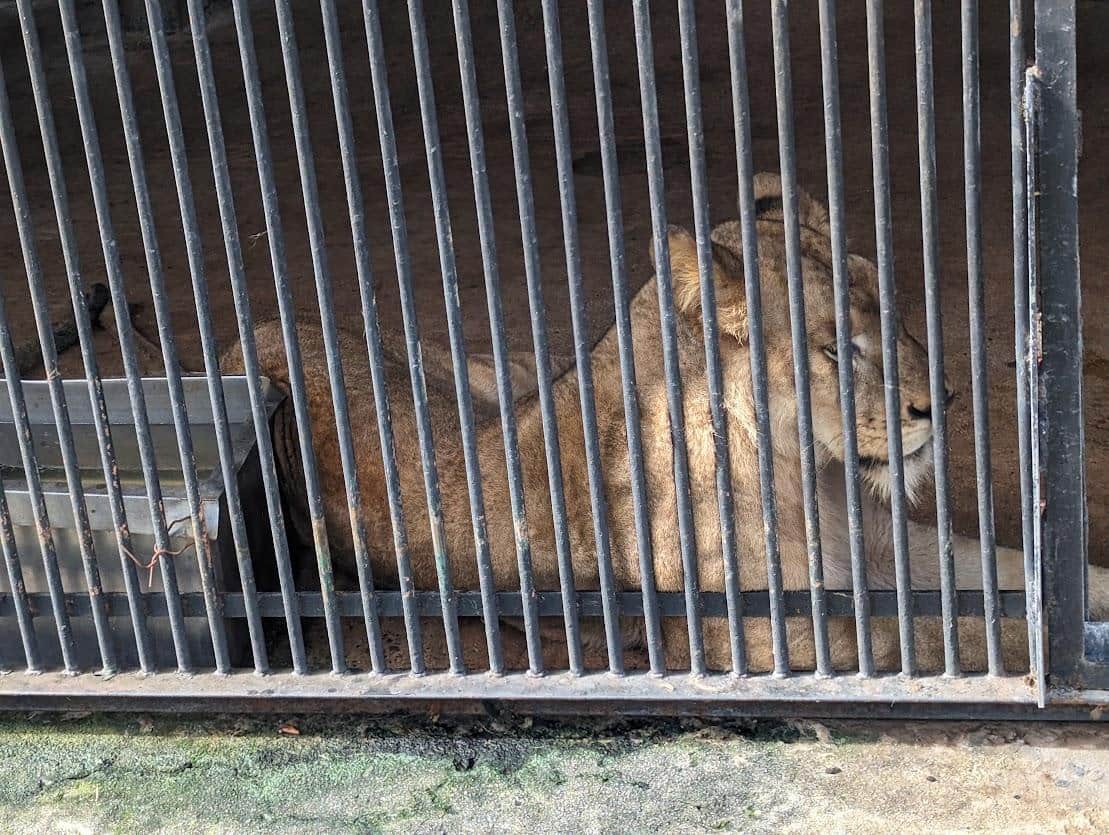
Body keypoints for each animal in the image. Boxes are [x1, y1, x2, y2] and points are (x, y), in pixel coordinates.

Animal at [221, 171, 1108, 674]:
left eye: (888, 308)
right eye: (833, 346)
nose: (943, 402)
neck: (808, 475)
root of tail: (252, 331)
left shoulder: (892, 551)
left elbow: (1005, 576)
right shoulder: (781, 634)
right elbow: (964, 629)